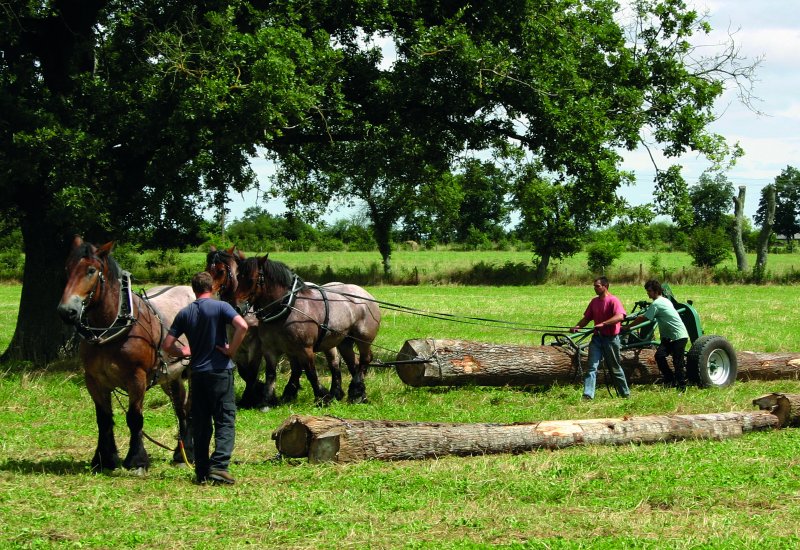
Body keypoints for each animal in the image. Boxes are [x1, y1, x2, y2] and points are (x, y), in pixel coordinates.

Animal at [56, 238, 195, 474]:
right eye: (67, 268)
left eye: (91, 270)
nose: (67, 311)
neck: (109, 329)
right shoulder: (94, 380)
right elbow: (103, 419)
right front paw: (104, 459)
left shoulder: (136, 378)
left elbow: (134, 418)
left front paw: (137, 460)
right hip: (171, 376)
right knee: (180, 407)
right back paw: (180, 452)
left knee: (191, 407)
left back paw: (189, 453)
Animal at [234, 256, 382, 406]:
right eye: (238, 277)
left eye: (251, 280)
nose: (237, 308)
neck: (288, 307)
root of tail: (367, 296)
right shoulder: (271, 349)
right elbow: (271, 374)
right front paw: (267, 400)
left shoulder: (305, 349)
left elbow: (311, 373)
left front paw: (322, 398)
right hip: (344, 341)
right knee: (353, 363)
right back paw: (359, 394)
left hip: (363, 338)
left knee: (365, 360)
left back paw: (356, 391)